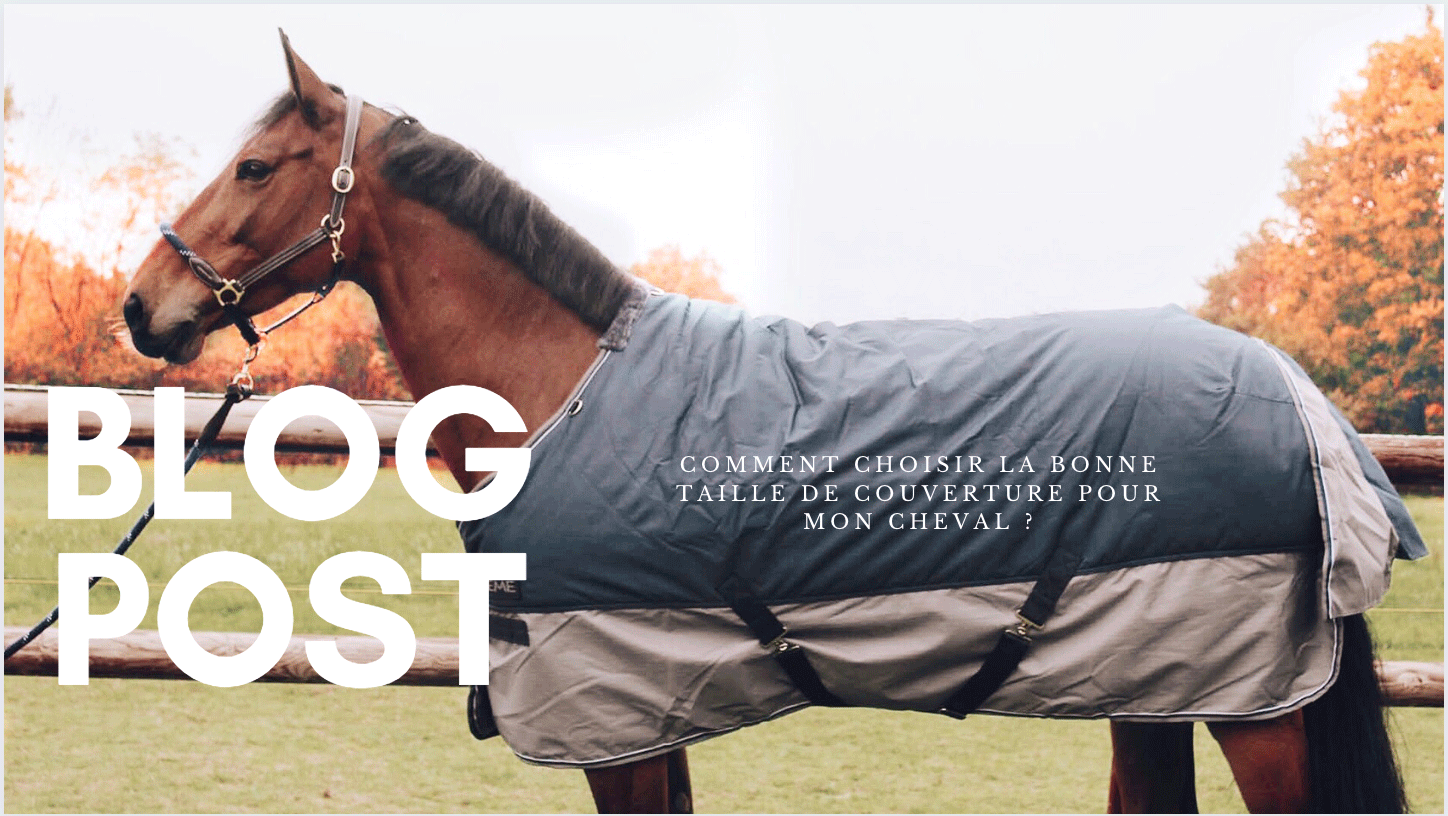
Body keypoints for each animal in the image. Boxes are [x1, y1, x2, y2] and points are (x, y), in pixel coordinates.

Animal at [121, 32, 1421, 813]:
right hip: (1157, 689)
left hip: (1259, 714)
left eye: (254, 168)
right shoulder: (640, 713)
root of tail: (1300, 402)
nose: (144, 304)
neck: (563, 386)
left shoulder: (616, 720)